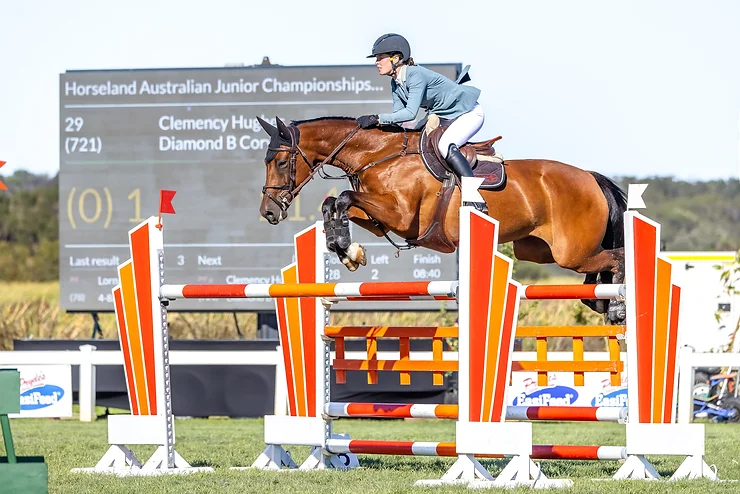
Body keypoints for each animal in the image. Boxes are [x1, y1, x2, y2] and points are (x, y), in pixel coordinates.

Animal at [258, 116, 628, 324]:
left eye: (280, 161)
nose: (268, 212)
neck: (377, 155)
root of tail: (590, 177)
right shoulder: (381, 219)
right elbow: (334, 203)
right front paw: (347, 250)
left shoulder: (401, 214)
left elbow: (345, 197)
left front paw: (346, 249)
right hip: (539, 250)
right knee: (597, 270)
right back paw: (600, 300)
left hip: (570, 252)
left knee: (617, 259)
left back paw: (616, 307)